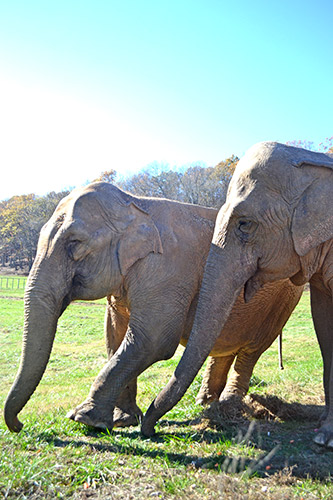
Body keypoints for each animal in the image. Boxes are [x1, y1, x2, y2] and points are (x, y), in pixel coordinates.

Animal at [3, 181, 302, 434]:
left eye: (74, 244)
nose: (19, 425)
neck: (134, 204)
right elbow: (116, 337)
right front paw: (122, 421)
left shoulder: (168, 271)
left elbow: (152, 340)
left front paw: (85, 419)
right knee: (222, 347)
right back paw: (206, 404)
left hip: (282, 304)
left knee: (251, 351)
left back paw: (229, 406)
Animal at [140, 142, 332, 450]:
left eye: (245, 224)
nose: (149, 430)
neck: (314, 161)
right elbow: (325, 328)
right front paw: (325, 435)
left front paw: (326, 438)